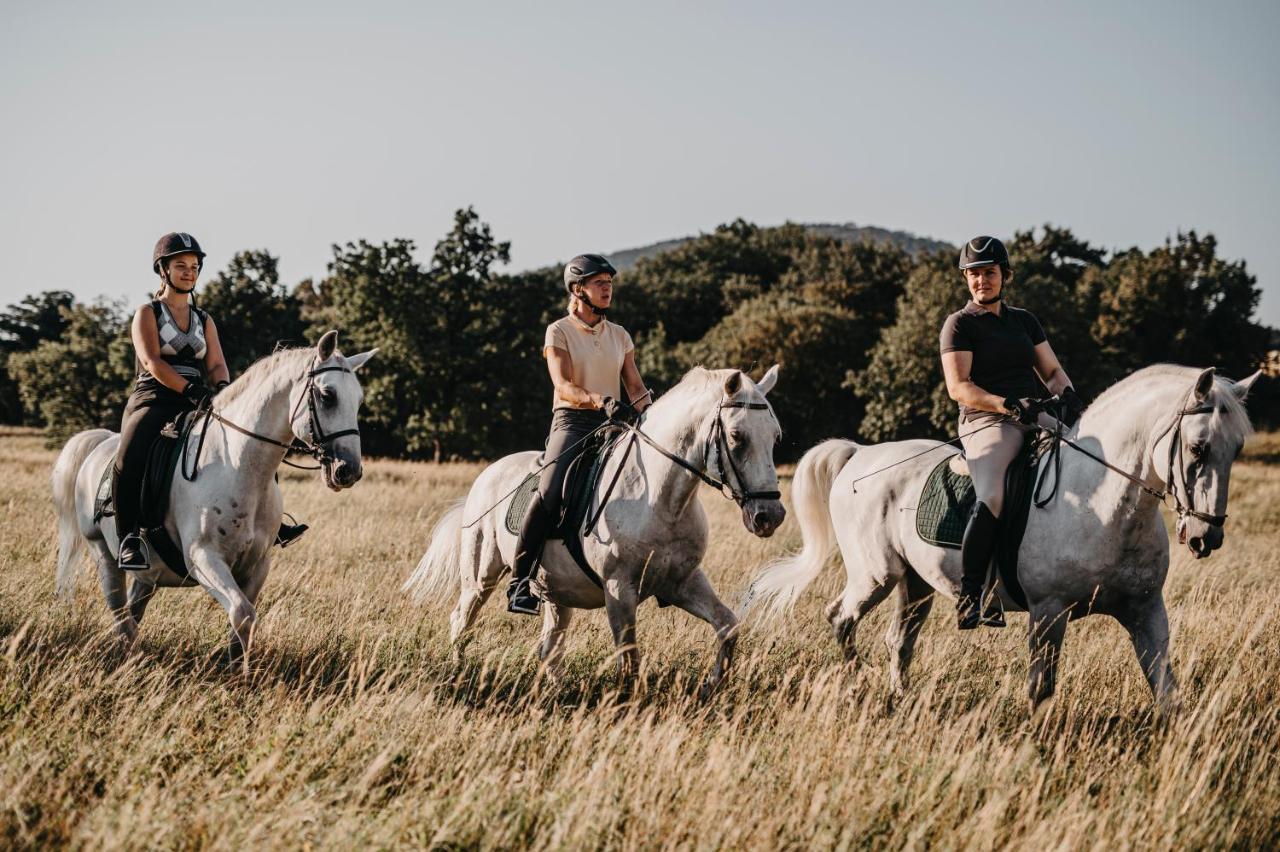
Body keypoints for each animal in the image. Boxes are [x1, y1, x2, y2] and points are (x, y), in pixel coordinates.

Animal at [55, 327, 373, 660]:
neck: (238, 465)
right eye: (327, 396)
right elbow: (242, 613)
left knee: (134, 607)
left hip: (148, 573)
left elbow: (243, 625)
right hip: (102, 553)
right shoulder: (203, 558)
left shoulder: (257, 565)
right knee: (120, 613)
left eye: (359, 400)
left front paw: (239, 668)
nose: (348, 470)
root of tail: (101, 442)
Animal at [409, 365, 783, 695]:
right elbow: (629, 660)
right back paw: (458, 674)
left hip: (555, 590)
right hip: (482, 575)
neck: (664, 500)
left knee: (550, 645)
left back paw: (556, 694)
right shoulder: (619, 588)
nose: (770, 516)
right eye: (736, 437)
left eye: (775, 436)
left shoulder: (683, 581)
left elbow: (728, 627)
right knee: (462, 619)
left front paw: (710, 687)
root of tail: (489, 472)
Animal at [747, 363, 1259, 711]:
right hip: (876, 575)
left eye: (1236, 448)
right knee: (841, 618)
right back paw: (856, 685)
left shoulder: (1146, 611)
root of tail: (859, 455)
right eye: (1198, 448)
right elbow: (1041, 691)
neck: (1106, 506)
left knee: (899, 641)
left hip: (915, 583)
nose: (1205, 536)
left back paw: (902, 699)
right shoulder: (1049, 614)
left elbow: (1166, 692)